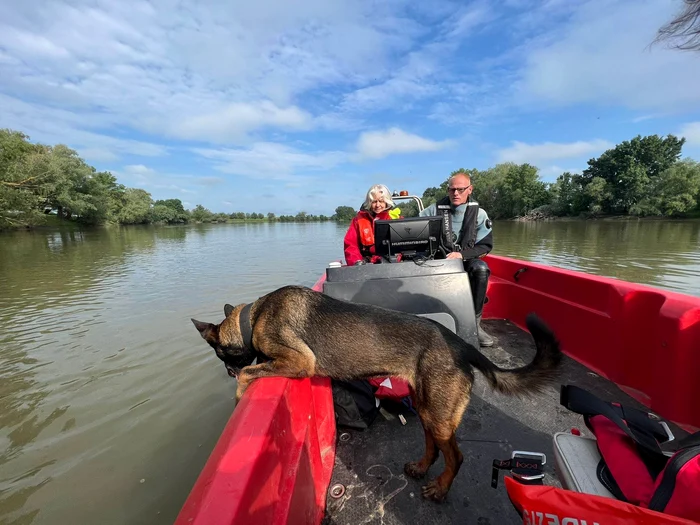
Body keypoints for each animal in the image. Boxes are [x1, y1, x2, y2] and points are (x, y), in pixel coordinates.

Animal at [191, 284, 564, 502]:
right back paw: (420, 468)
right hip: (427, 406)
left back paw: (440, 488)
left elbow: (251, 371)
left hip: (438, 414)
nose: (226, 372)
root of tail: (462, 345)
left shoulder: (299, 360)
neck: (254, 317)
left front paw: (238, 394)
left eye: (221, 356)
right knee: (432, 445)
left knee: (456, 457)